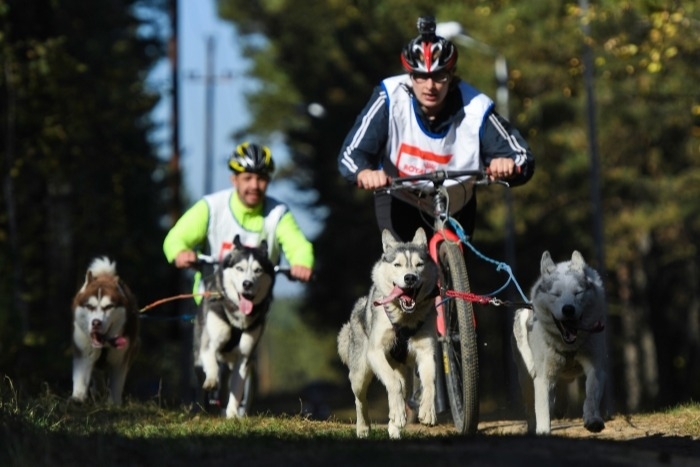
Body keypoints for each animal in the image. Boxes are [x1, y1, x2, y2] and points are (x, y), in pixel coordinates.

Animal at [72, 256, 141, 406]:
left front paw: (113, 404)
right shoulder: (84, 351)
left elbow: (116, 384)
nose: (96, 323)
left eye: (108, 306)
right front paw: (78, 398)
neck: (104, 344)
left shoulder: (120, 359)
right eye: (89, 306)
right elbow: (81, 378)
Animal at [196, 236, 278, 418]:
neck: (237, 318)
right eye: (239, 268)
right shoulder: (209, 342)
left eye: (258, 270)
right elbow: (210, 359)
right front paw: (211, 380)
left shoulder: (245, 356)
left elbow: (238, 387)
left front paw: (232, 414)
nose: (247, 284)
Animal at [336, 229, 434, 440]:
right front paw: (397, 413)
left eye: (419, 264)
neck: (405, 318)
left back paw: (394, 427)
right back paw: (364, 428)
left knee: (402, 388)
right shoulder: (376, 352)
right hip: (360, 374)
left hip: (405, 373)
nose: (410, 278)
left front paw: (427, 412)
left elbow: (430, 382)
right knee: (361, 399)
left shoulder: (426, 351)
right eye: (397, 264)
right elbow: (393, 384)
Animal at [508, 250, 608, 436]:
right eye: (556, 294)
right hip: (525, 377)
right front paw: (543, 431)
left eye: (577, 293)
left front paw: (592, 419)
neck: (569, 346)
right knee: (531, 409)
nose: (568, 309)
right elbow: (542, 409)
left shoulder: (596, 367)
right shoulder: (543, 377)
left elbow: (591, 394)